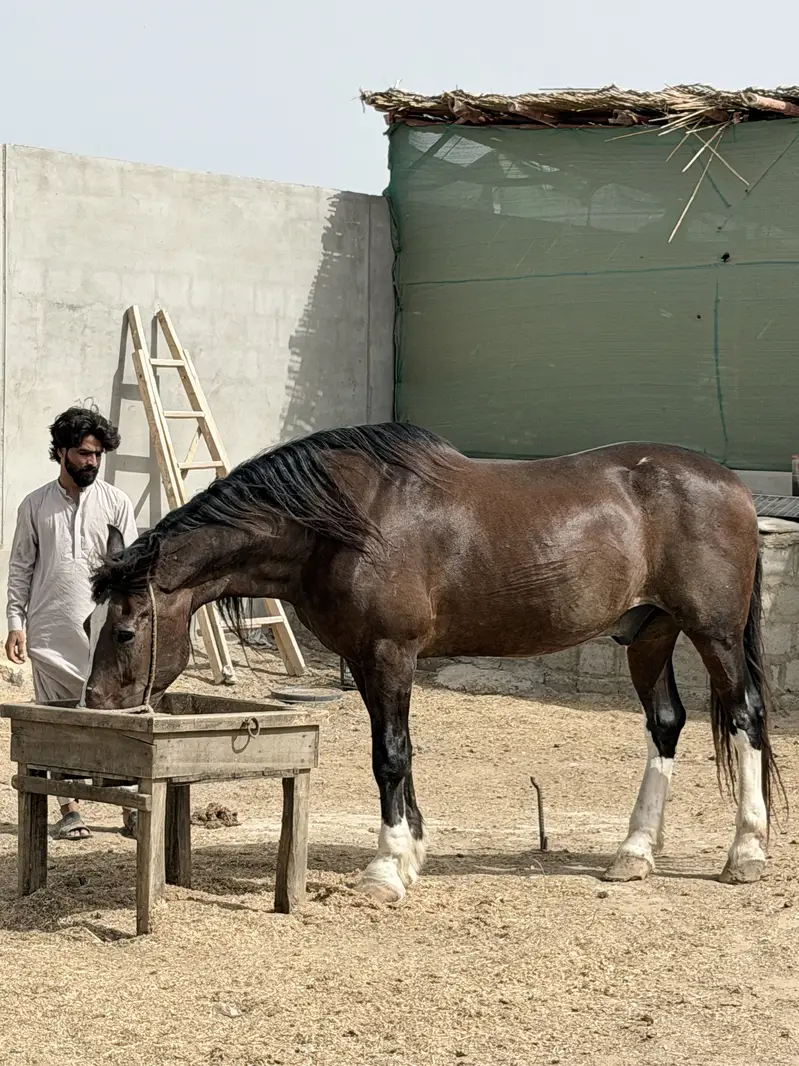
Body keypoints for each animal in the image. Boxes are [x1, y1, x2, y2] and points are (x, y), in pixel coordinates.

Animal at [82, 422, 782, 901]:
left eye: (124, 629)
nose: (96, 704)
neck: (342, 525)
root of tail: (732, 486)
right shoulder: (369, 662)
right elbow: (397, 754)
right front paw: (412, 849)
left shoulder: (390, 655)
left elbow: (390, 756)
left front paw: (387, 867)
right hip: (648, 633)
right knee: (665, 724)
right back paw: (634, 853)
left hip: (712, 632)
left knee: (745, 716)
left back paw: (746, 852)